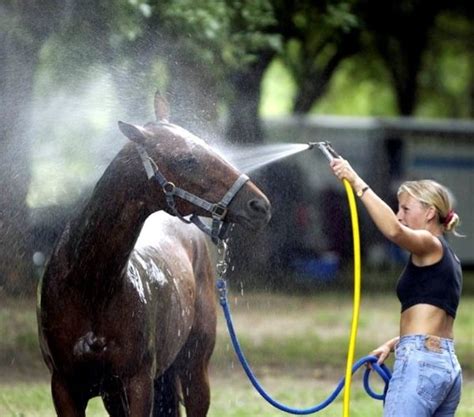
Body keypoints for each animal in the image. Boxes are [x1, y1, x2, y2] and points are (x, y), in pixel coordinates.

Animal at [36, 92, 270, 416]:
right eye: (187, 159)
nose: (259, 206)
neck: (90, 286)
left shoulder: (138, 383)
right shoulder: (65, 388)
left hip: (194, 372)